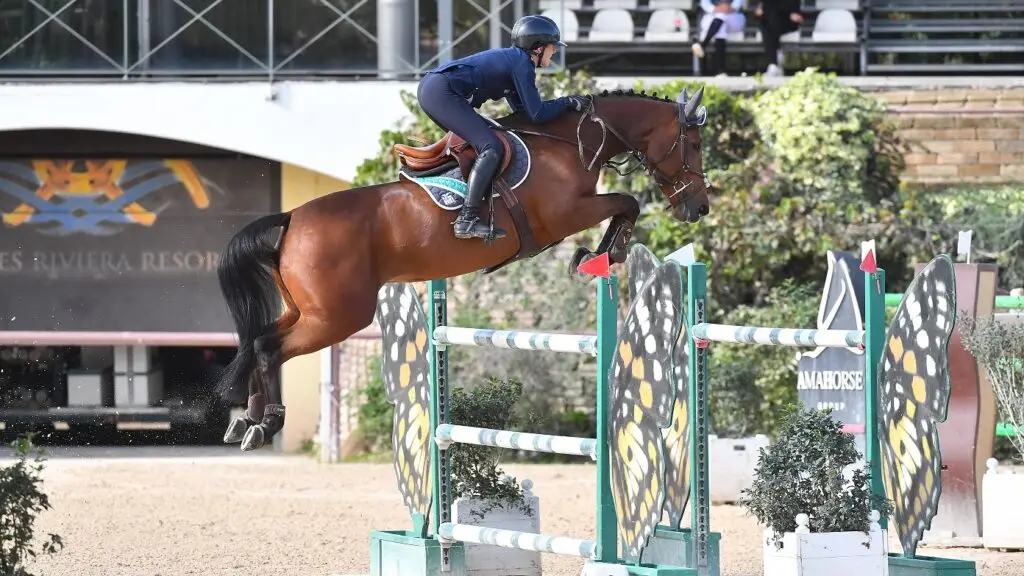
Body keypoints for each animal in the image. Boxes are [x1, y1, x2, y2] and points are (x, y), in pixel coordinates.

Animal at [213, 87, 711, 451]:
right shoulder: (567, 213)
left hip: (308, 311)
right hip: (337, 317)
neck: (570, 142)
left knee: (257, 339)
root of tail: (292, 218)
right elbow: (627, 201)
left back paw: (246, 422)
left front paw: (602, 253)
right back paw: (265, 425)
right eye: (694, 144)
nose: (700, 208)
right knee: (268, 348)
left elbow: (626, 204)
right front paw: (604, 252)